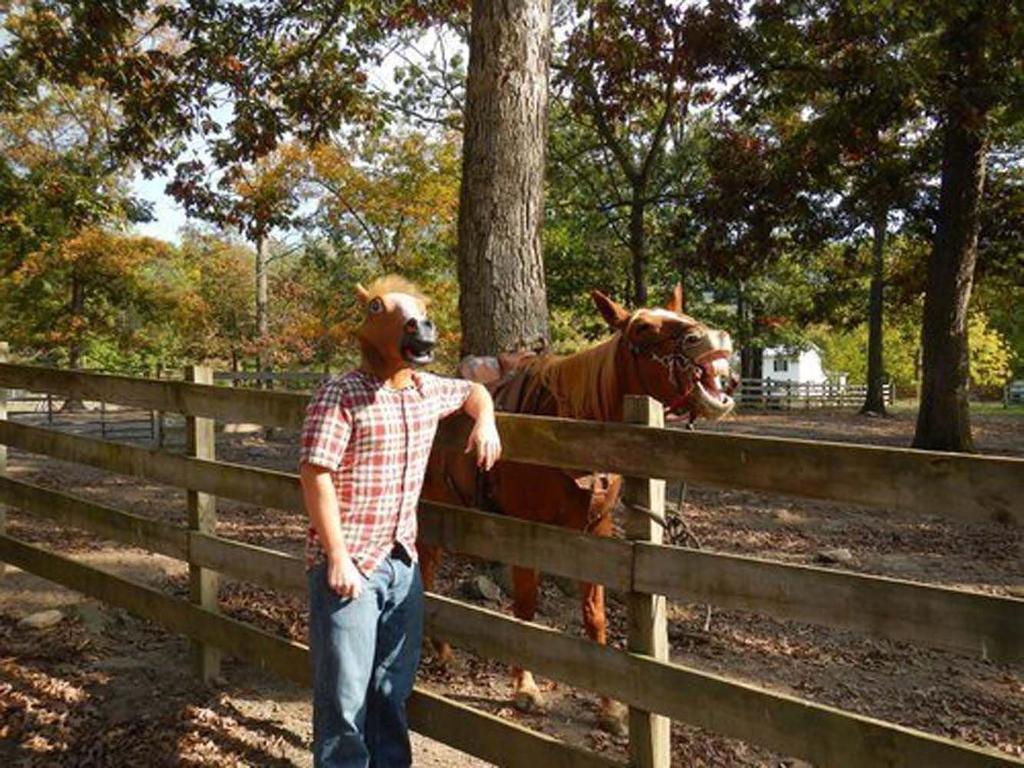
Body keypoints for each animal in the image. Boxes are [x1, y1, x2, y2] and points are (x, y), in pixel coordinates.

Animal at [418, 285, 736, 734]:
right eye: (642, 328)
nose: (711, 339)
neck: (568, 433)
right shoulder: (527, 530)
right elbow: (526, 607)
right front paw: (526, 689)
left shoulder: (594, 533)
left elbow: (594, 617)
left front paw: (610, 708)